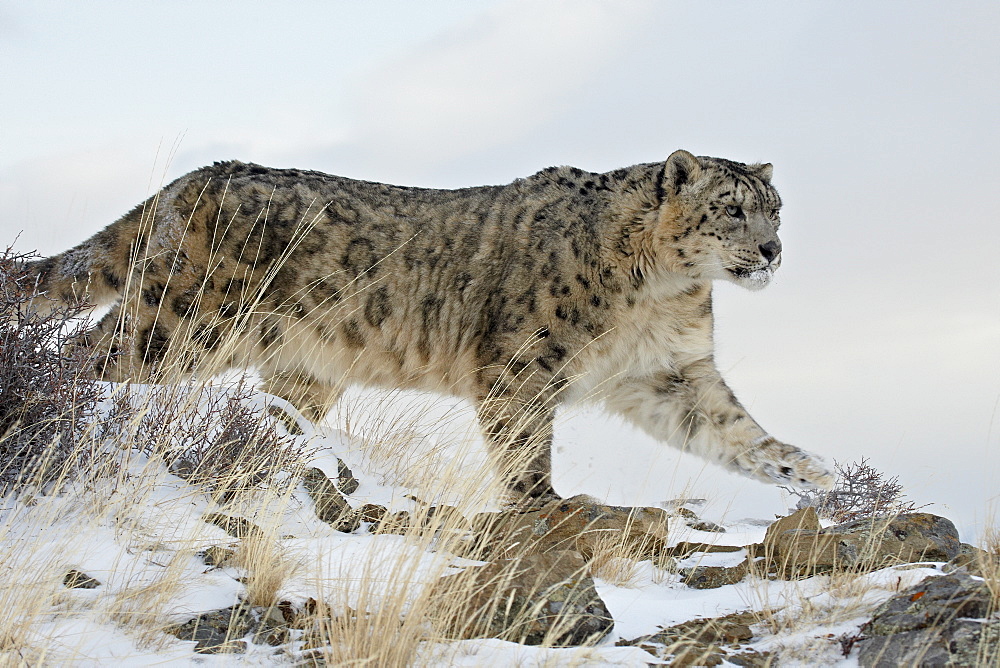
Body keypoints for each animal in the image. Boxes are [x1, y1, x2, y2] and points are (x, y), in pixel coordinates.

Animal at [23, 150, 836, 496]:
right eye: (731, 207)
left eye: (776, 208)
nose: (773, 249)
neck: (665, 293)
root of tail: (192, 177)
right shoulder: (522, 365)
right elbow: (524, 453)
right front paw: (540, 507)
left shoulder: (669, 372)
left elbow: (734, 430)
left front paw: (806, 469)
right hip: (179, 322)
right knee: (88, 353)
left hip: (299, 367)